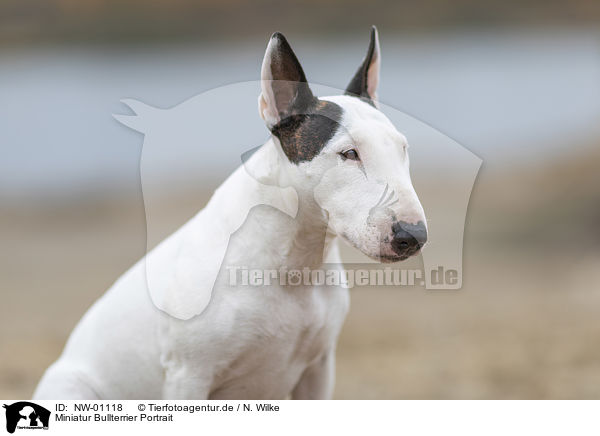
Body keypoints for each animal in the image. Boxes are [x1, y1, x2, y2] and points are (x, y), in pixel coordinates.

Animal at [34, 27, 426, 400]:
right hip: (72, 385)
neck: (292, 261)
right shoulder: (188, 376)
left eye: (402, 148)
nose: (413, 236)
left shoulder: (318, 368)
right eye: (349, 153)